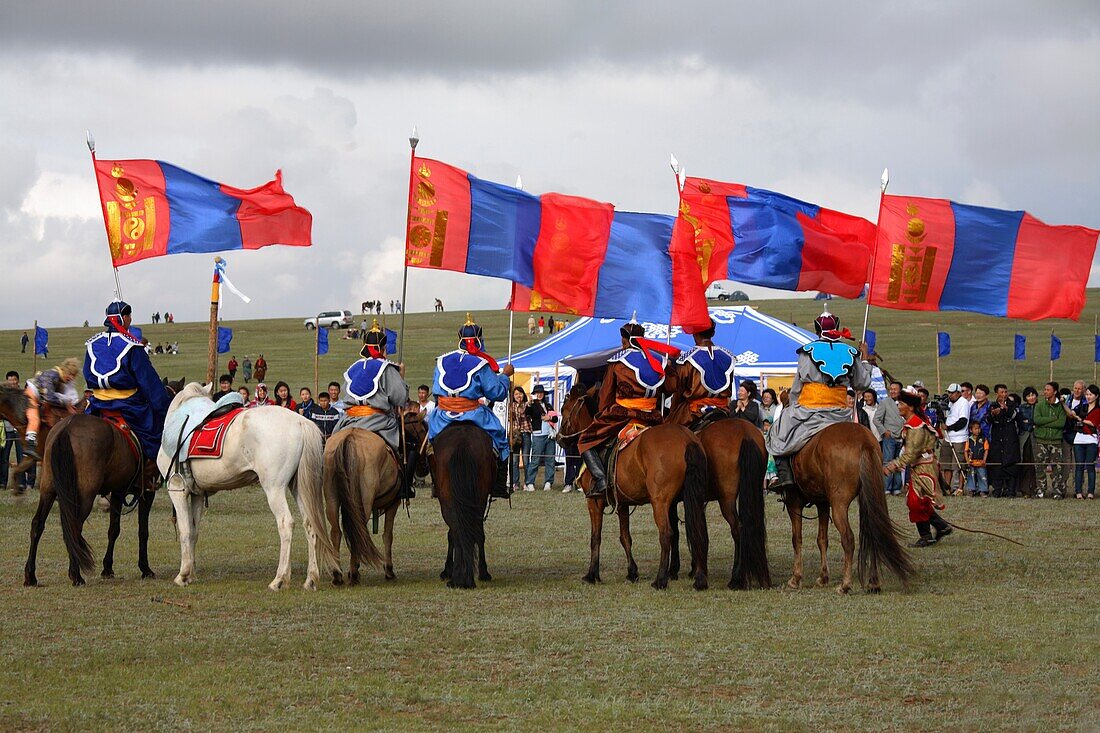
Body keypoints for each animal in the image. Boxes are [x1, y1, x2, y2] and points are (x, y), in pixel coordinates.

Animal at [160, 383, 336, 589]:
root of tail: (301, 422)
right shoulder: (197, 494)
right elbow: (194, 531)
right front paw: (191, 574)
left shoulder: (177, 490)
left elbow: (185, 530)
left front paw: (183, 575)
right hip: (299, 487)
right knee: (310, 524)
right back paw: (311, 579)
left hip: (274, 488)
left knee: (285, 523)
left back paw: (280, 579)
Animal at [321, 407, 429, 585]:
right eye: (423, 431)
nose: (424, 468)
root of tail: (350, 438)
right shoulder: (393, 503)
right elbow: (388, 535)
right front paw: (389, 570)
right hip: (363, 501)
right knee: (358, 530)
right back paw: (353, 573)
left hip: (331, 498)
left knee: (336, 531)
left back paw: (337, 574)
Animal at [429, 420, 499, 585]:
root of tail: (463, 442)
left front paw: (448, 570)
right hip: (477, 499)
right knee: (473, 531)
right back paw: (475, 574)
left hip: (449, 501)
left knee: (457, 531)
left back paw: (459, 577)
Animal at [563, 387, 708, 589]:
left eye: (563, 410)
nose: (559, 439)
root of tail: (687, 440)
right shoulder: (622, 503)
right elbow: (625, 537)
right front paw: (632, 572)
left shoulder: (594, 502)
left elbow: (595, 537)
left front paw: (592, 574)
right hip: (691, 499)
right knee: (698, 531)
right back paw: (698, 577)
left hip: (660, 502)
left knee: (666, 534)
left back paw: (660, 580)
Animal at [787, 420, 915, 589]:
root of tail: (864, 441)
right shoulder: (822, 503)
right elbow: (822, 539)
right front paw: (823, 577)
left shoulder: (794, 503)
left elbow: (797, 539)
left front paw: (796, 578)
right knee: (872, 535)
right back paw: (873, 583)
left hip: (839, 505)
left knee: (848, 539)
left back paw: (845, 585)